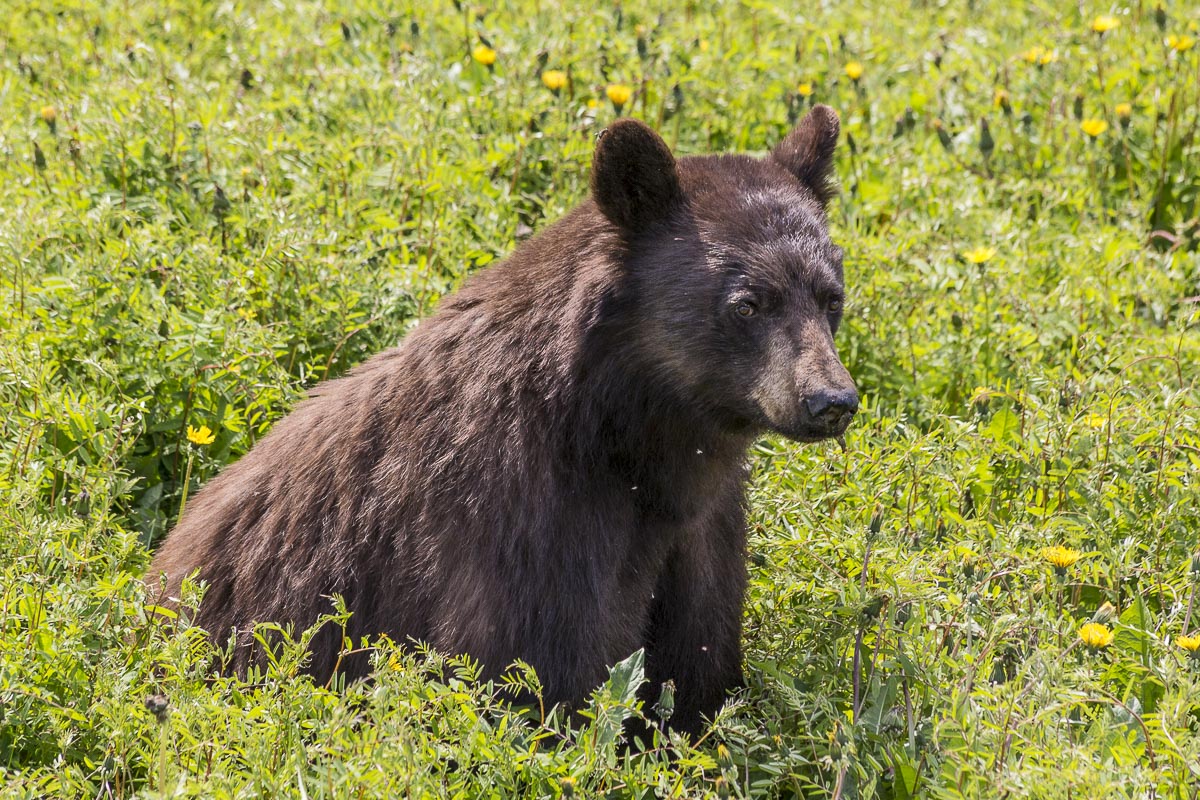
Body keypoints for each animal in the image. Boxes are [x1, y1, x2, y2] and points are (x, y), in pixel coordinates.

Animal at [146, 104, 858, 736]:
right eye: (747, 304)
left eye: (832, 297)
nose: (831, 400)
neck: (626, 435)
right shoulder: (524, 521)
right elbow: (533, 675)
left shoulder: (703, 530)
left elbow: (697, 665)